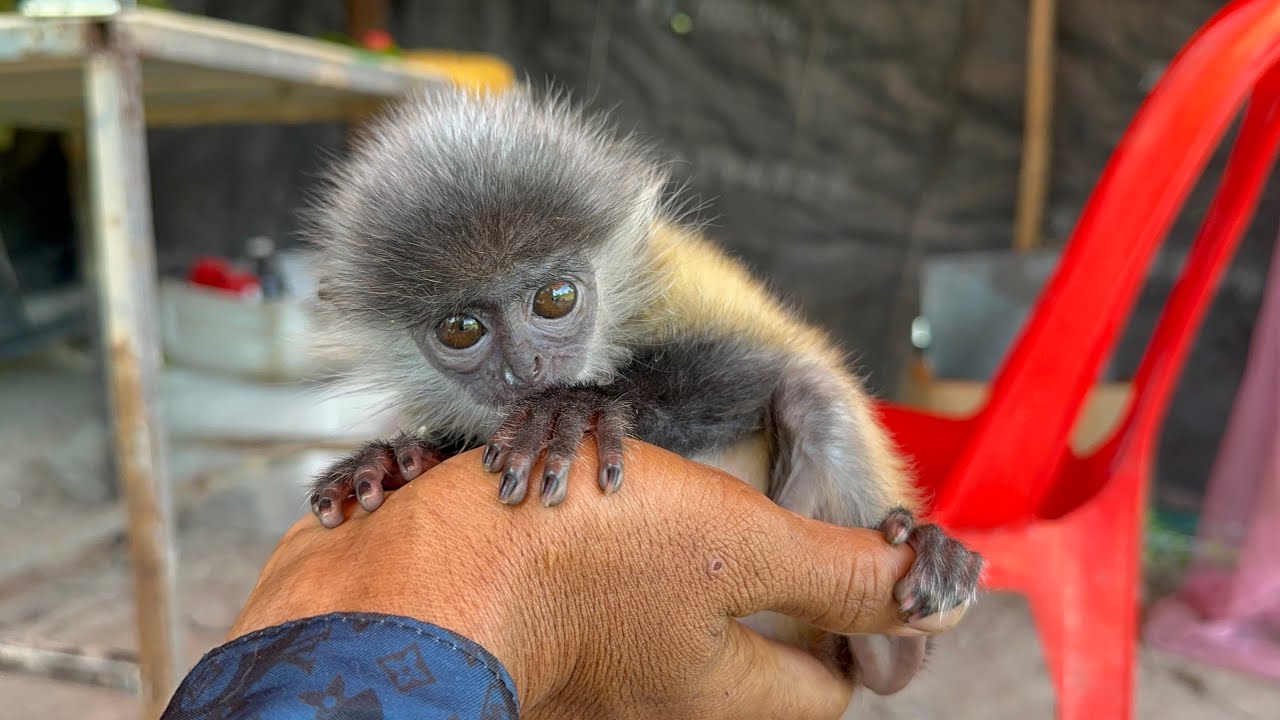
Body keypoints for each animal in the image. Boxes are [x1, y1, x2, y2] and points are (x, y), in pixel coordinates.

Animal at [300, 84, 983, 706]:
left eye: (555, 299)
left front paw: (574, 411)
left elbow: (765, 372)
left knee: (810, 392)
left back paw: (892, 639)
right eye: (461, 329)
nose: (527, 367)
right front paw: (396, 460)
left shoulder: (672, 283)